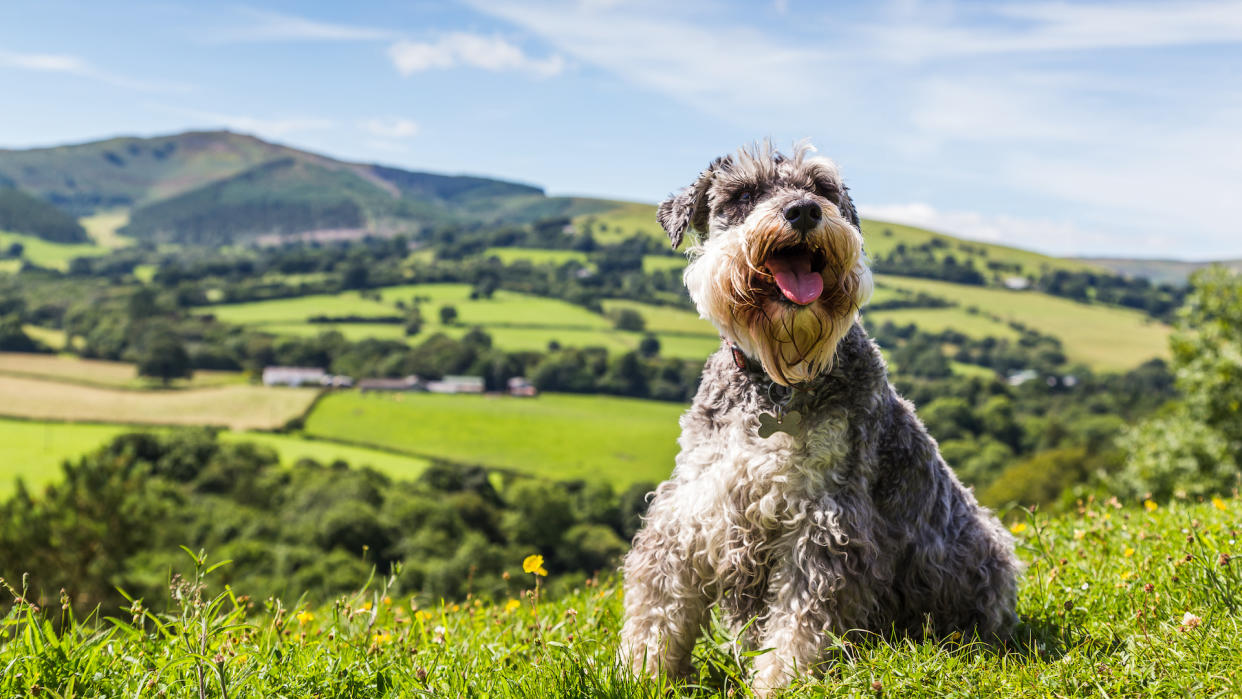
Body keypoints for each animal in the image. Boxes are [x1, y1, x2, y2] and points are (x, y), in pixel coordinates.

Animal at [621, 142, 1018, 695]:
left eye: (822, 188)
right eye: (743, 194)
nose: (804, 211)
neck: (776, 384)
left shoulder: (824, 522)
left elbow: (799, 624)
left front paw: (779, 683)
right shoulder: (690, 510)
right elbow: (657, 608)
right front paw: (641, 674)